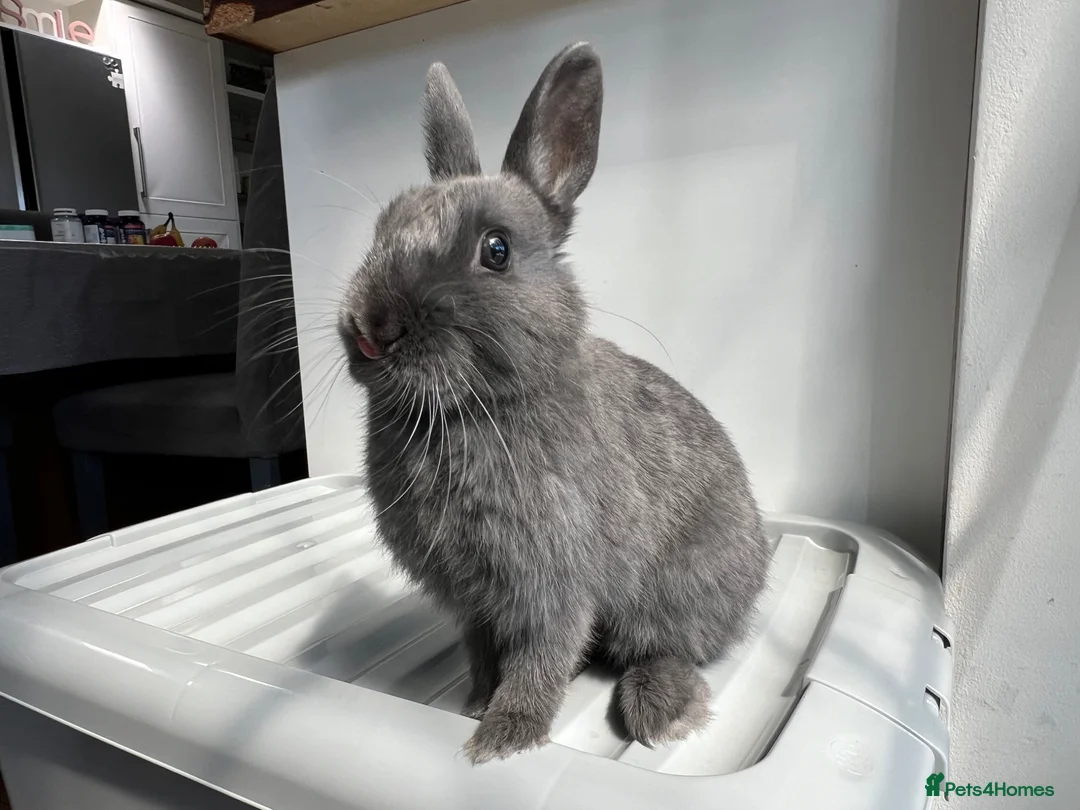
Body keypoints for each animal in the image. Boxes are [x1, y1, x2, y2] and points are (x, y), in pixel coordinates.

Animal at [339, 42, 772, 764]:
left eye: (497, 250)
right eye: (382, 229)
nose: (372, 327)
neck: (469, 410)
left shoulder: (552, 585)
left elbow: (539, 661)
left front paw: (503, 738)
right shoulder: (475, 604)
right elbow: (484, 655)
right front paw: (476, 705)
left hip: (677, 594)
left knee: (674, 649)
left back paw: (662, 712)